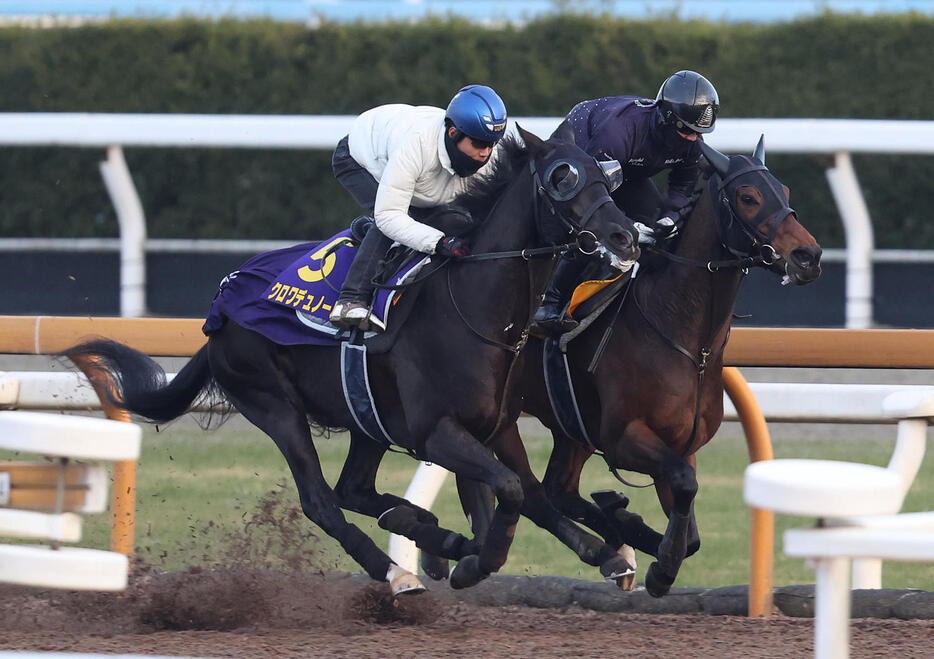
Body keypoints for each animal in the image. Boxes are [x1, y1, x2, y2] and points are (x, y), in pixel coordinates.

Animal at [66, 121, 640, 596]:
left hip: (367, 419)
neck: (476, 306)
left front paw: (607, 553)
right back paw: (395, 570)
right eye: (562, 179)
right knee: (322, 500)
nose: (625, 236)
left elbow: (530, 492)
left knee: (354, 489)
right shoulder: (436, 432)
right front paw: (477, 559)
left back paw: (418, 530)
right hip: (273, 404)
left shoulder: (497, 425)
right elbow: (509, 489)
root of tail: (219, 308)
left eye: (605, 176)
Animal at [460, 137, 828, 596]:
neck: (683, 334)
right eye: (748, 197)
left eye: (786, 192)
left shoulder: (681, 445)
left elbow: (690, 529)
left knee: (556, 489)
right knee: (531, 491)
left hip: (570, 427)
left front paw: (637, 535)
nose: (809, 255)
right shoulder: (624, 438)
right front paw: (658, 565)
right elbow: (685, 490)